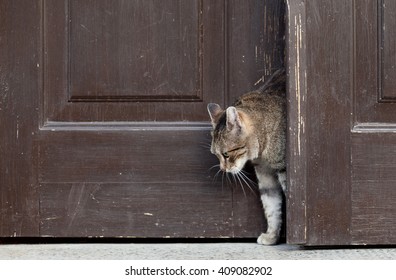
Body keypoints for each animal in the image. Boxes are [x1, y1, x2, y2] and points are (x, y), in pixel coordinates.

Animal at [206, 68, 286, 245]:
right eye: (215, 155)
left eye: (226, 154)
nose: (223, 169)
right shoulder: (265, 174)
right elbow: (271, 206)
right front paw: (271, 235)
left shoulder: (284, 169)